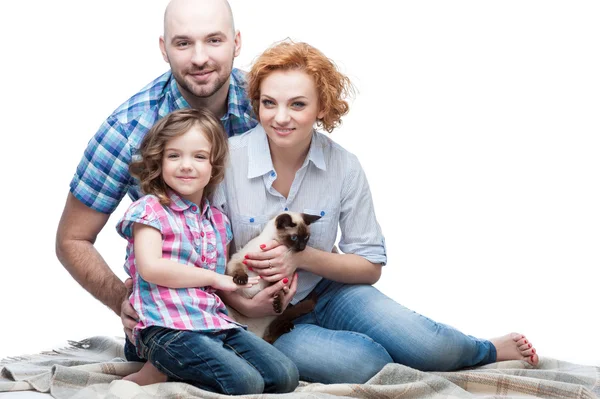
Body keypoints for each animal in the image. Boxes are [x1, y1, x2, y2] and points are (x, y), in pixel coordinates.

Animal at [225, 212, 322, 344]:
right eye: (294, 238)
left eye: (306, 237)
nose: (302, 247)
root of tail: (256, 334)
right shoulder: (238, 260)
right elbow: (238, 270)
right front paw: (242, 279)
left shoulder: (278, 278)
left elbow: (279, 290)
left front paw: (278, 303)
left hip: (271, 320)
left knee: (270, 338)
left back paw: (287, 326)